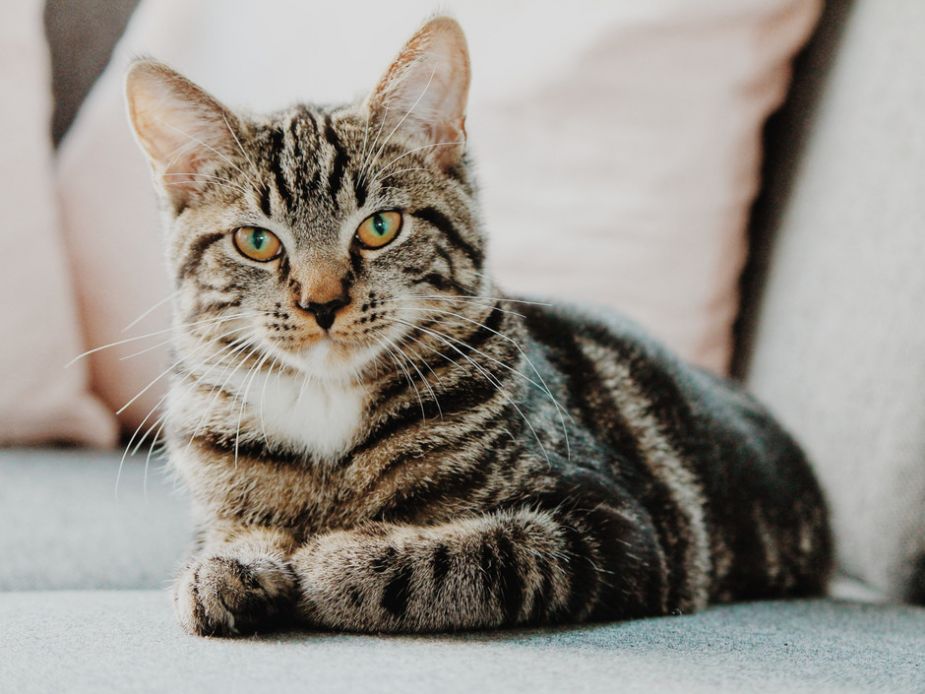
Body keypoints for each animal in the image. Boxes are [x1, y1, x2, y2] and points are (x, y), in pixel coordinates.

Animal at [124, 16, 832, 640]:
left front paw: (332, 561)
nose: (322, 302)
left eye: (380, 227)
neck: (327, 406)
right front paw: (226, 567)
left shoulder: (615, 527)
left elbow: (473, 556)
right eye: (256, 241)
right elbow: (227, 534)